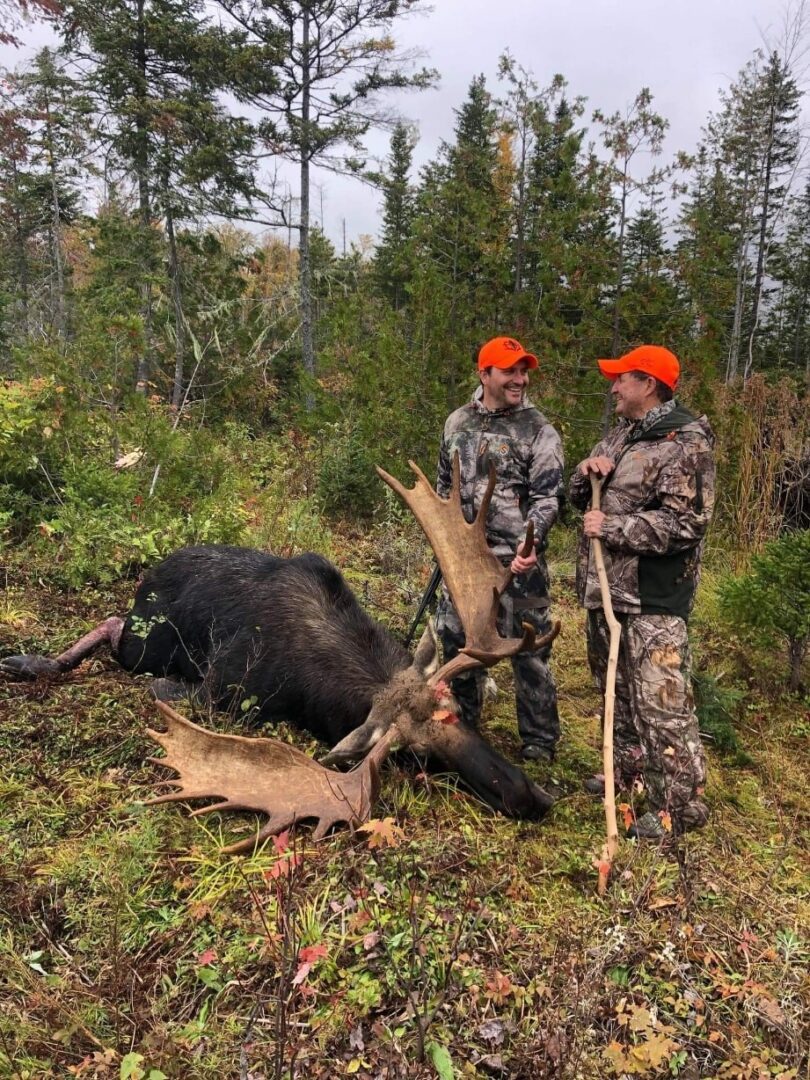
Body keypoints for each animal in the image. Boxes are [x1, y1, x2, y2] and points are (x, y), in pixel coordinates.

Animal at [1, 455, 557, 851]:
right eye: (417, 756)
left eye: (458, 709)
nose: (530, 796)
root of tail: (148, 577)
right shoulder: (221, 688)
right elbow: (174, 694)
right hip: (142, 643)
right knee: (114, 625)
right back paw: (28, 662)